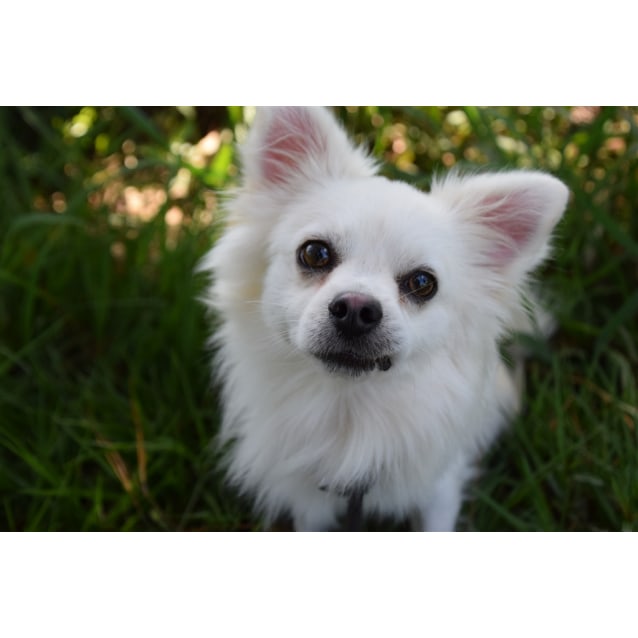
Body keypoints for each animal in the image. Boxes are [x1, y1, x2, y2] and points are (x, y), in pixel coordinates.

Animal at [201, 107, 568, 532]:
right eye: (314, 253)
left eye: (423, 283)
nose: (357, 308)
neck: (348, 412)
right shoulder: (308, 503)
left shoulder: (439, 491)